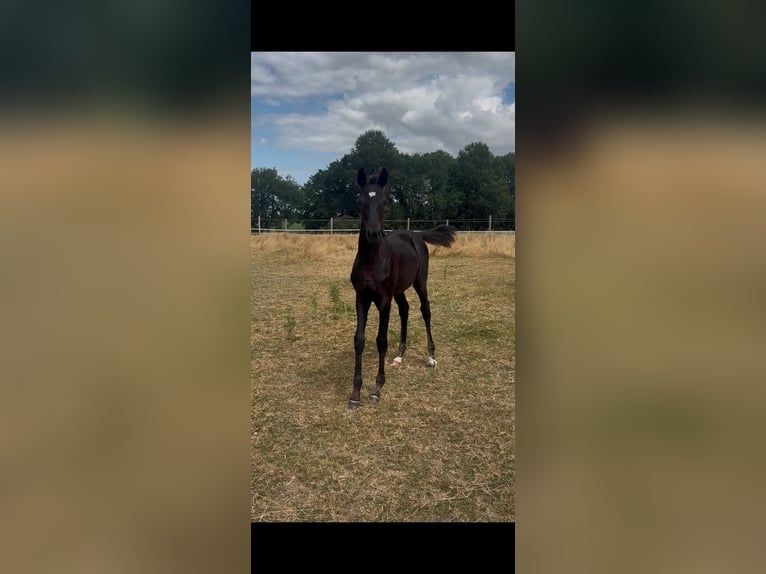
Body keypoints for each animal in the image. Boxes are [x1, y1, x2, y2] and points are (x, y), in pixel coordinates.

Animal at [348, 167, 456, 410]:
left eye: (385, 201)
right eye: (359, 201)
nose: (373, 234)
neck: (372, 261)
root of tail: (416, 234)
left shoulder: (383, 300)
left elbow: (381, 340)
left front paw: (377, 389)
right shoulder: (362, 297)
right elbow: (359, 340)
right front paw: (355, 393)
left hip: (419, 282)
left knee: (425, 310)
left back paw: (431, 357)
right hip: (399, 290)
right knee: (405, 309)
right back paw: (399, 354)